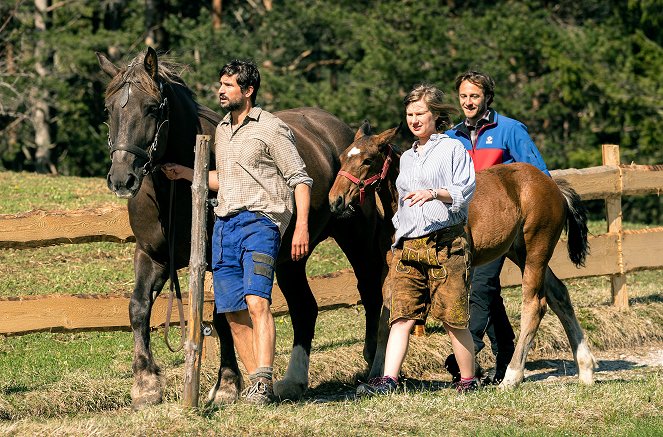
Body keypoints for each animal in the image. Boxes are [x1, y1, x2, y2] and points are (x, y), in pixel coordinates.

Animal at [97, 47, 384, 406]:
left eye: (151, 108)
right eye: (109, 109)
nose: (122, 179)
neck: (177, 190)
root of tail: (345, 135)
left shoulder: (216, 261)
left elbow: (221, 319)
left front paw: (227, 385)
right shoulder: (152, 256)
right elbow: (138, 308)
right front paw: (146, 384)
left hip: (357, 239)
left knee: (371, 292)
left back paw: (372, 365)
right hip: (291, 258)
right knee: (305, 308)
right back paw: (293, 381)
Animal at [330, 122, 600, 384]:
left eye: (367, 160)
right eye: (342, 158)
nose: (336, 200)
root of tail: (553, 186)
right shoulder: (392, 267)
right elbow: (387, 321)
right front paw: (375, 375)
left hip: (537, 249)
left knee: (535, 304)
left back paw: (512, 376)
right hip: (520, 252)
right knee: (559, 294)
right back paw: (585, 370)